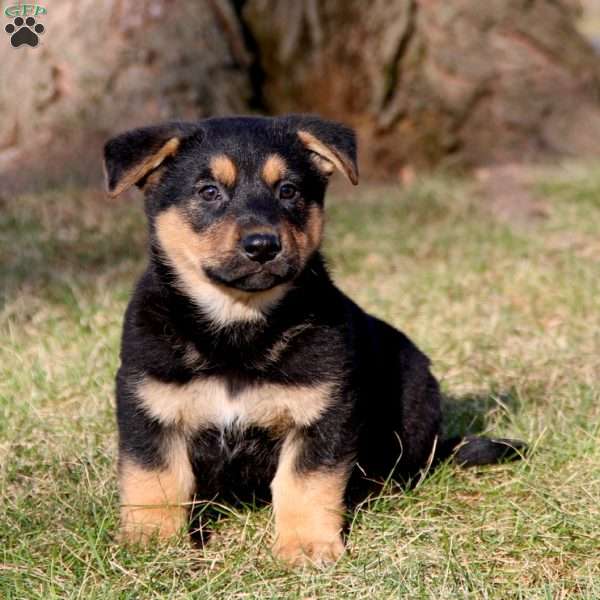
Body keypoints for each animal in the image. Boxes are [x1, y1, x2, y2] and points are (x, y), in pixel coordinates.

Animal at [104, 113, 524, 568]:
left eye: (288, 190)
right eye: (208, 191)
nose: (263, 245)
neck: (238, 328)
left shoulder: (324, 412)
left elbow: (304, 482)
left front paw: (306, 546)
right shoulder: (148, 405)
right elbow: (155, 478)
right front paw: (151, 542)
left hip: (416, 394)